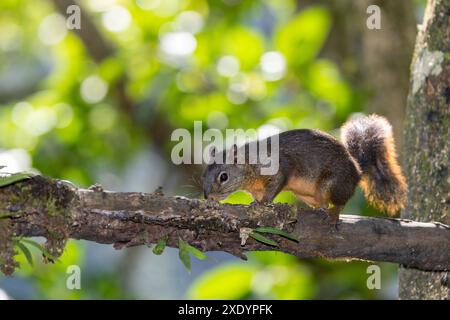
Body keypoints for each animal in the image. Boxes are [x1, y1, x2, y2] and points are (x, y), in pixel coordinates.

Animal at [202, 115, 406, 225]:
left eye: (223, 177)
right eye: (204, 175)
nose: (208, 197)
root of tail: (357, 171)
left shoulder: (279, 167)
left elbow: (275, 185)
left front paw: (264, 203)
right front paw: (256, 202)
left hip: (333, 182)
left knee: (340, 201)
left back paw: (333, 213)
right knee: (321, 203)